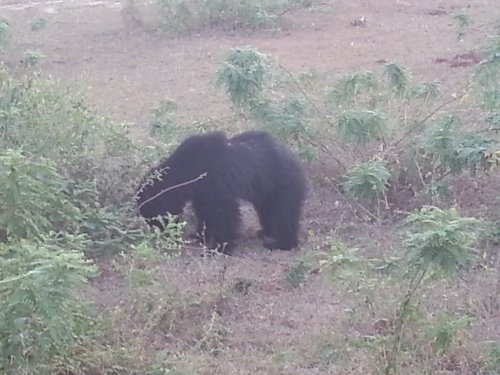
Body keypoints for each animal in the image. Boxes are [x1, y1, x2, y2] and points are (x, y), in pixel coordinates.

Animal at [138, 130, 308, 256]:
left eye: (155, 219)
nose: (162, 236)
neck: (186, 172)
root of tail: (294, 158)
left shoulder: (216, 181)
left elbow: (223, 214)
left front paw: (217, 249)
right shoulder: (201, 192)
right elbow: (204, 212)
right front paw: (199, 236)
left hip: (283, 184)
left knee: (284, 213)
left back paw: (280, 243)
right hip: (266, 190)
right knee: (267, 210)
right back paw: (264, 232)